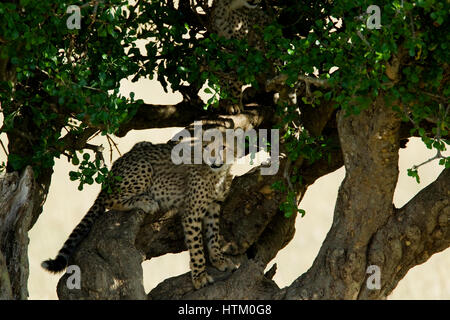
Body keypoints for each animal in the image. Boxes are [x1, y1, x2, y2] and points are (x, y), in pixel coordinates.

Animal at [42, 139, 239, 288]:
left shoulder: (214, 206)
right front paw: (200, 277)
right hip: (143, 167)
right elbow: (196, 246)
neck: (218, 173)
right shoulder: (192, 213)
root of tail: (114, 168)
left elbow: (213, 235)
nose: (213, 159)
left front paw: (219, 259)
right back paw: (146, 201)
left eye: (223, 147)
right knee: (110, 200)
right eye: (207, 148)